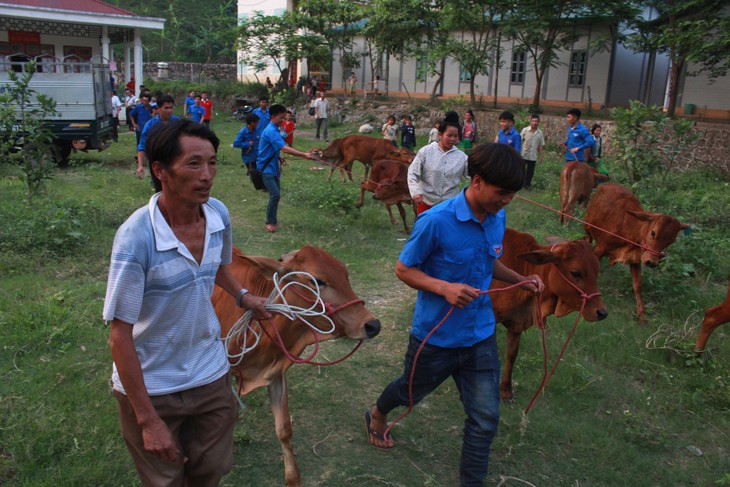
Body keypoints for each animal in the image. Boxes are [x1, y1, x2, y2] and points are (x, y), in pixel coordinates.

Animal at [212, 248, 378, 487]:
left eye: (346, 275)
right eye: (317, 281)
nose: (372, 325)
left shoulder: (275, 373)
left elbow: (284, 429)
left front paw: (293, 478)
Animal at [490, 231, 608, 402]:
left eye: (597, 271)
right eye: (576, 273)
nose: (602, 312)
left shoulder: (516, 325)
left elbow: (511, 355)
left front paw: (506, 391)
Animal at [580, 183, 688, 324]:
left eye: (670, 241)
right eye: (653, 232)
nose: (651, 262)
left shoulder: (635, 260)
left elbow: (638, 286)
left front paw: (642, 317)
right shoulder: (600, 248)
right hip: (588, 228)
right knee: (586, 240)